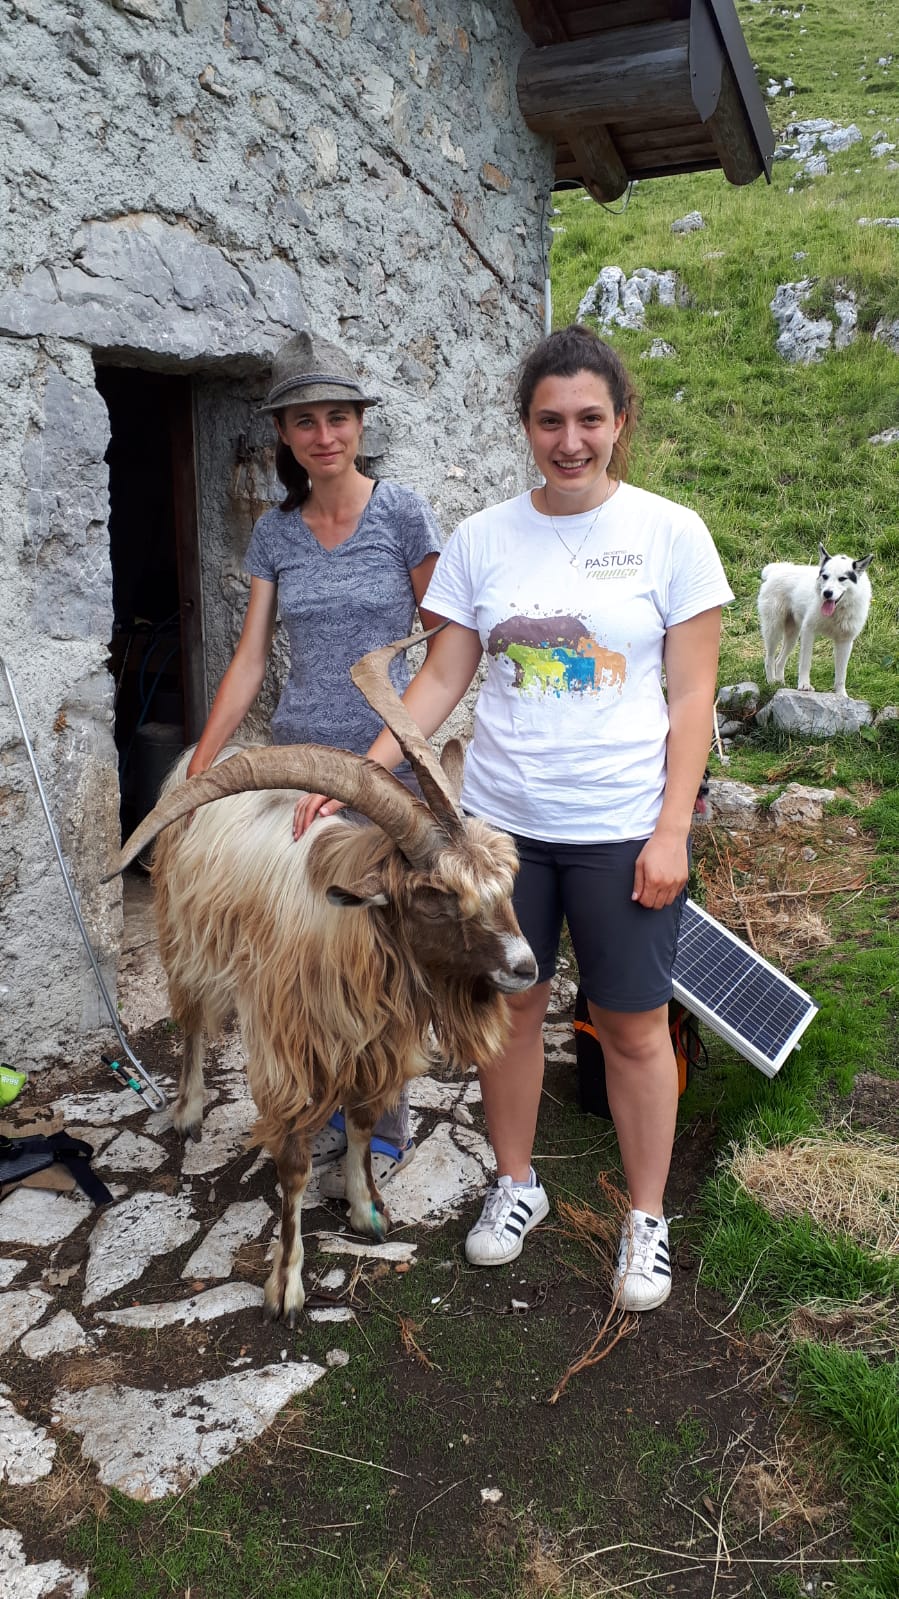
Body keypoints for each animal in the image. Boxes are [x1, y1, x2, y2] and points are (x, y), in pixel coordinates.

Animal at [107, 630, 537, 1324]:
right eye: (438, 896)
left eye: (507, 881)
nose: (525, 967)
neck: (350, 930)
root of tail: (213, 754)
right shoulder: (289, 1055)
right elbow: (293, 1167)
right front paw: (286, 1286)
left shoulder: (370, 1046)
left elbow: (360, 1126)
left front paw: (366, 1214)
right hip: (186, 940)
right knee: (193, 1022)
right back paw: (189, 1111)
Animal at [758, 544, 873, 698]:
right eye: (825, 576)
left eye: (842, 579)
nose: (827, 593)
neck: (836, 611)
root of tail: (776, 571)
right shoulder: (808, 631)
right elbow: (805, 663)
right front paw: (804, 685)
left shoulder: (845, 642)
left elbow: (841, 674)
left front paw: (841, 695)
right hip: (774, 631)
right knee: (769, 659)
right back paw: (771, 683)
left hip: (792, 637)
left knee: (779, 660)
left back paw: (780, 683)